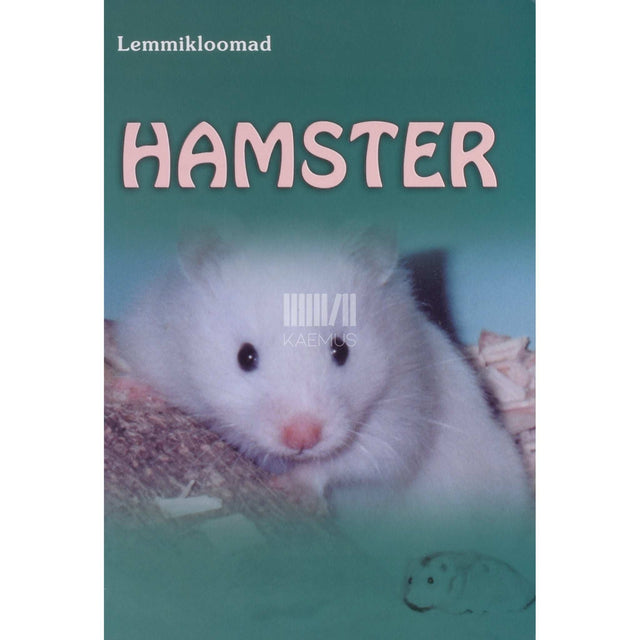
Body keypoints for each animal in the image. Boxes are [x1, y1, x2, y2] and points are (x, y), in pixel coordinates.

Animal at [116, 229, 532, 523]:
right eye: (244, 356)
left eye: (341, 349)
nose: (303, 439)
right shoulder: (153, 340)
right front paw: (128, 389)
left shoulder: (401, 413)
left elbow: (350, 463)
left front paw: (291, 486)